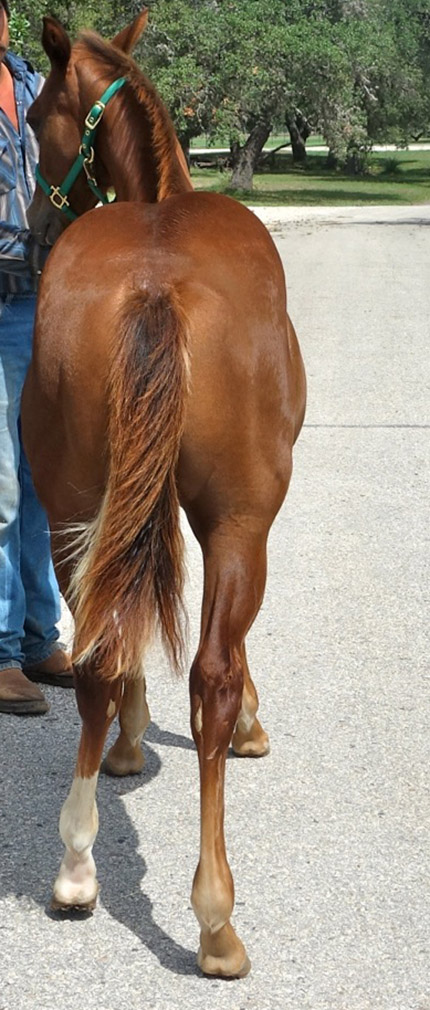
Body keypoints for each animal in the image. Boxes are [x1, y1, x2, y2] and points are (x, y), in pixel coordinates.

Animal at [22, 11, 304, 981]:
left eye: (33, 116)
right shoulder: (238, 519)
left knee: (98, 655)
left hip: (74, 506)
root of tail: (154, 281)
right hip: (240, 521)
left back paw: (76, 866)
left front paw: (130, 744)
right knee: (209, 673)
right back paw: (215, 921)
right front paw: (251, 720)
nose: (34, 225)